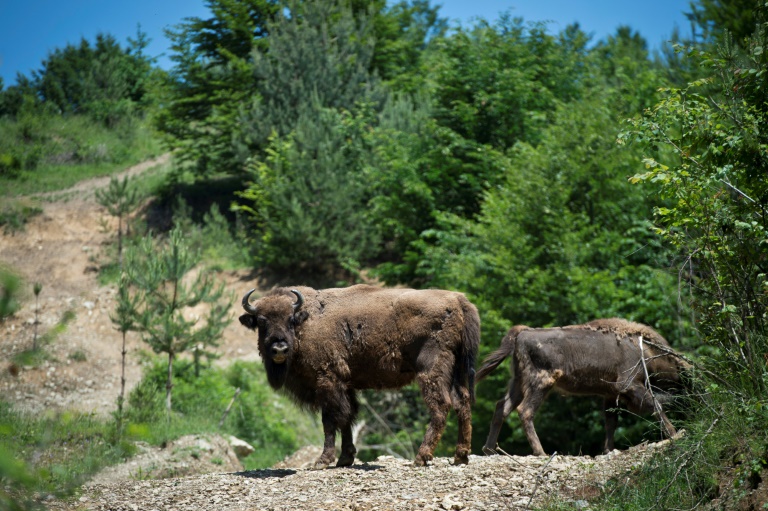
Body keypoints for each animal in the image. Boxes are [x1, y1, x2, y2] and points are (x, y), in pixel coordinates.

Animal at [240, 286, 480, 470]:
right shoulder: (346, 386)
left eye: (290, 319)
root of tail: (458, 301)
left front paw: (322, 461)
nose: (279, 348)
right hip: (458, 372)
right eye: (261, 321)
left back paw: (421, 458)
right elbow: (347, 417)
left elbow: (330, 420)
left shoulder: (327, 381)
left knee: (441, 406)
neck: (306, 322)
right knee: (462, 403)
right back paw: (460, 456)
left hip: (431, 370)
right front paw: (345, 459)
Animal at [480, 320, 688, 456]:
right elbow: (655, 405)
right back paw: (541, 453)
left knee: (502, 407)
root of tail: (522, 334)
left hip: (517, 382)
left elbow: (611, 422)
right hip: (541, 383)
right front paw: (674, 433)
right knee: (525, 411)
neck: (645, 350)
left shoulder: (610, 395)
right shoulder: (628, 385)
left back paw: (489, 450)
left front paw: (608, 450)